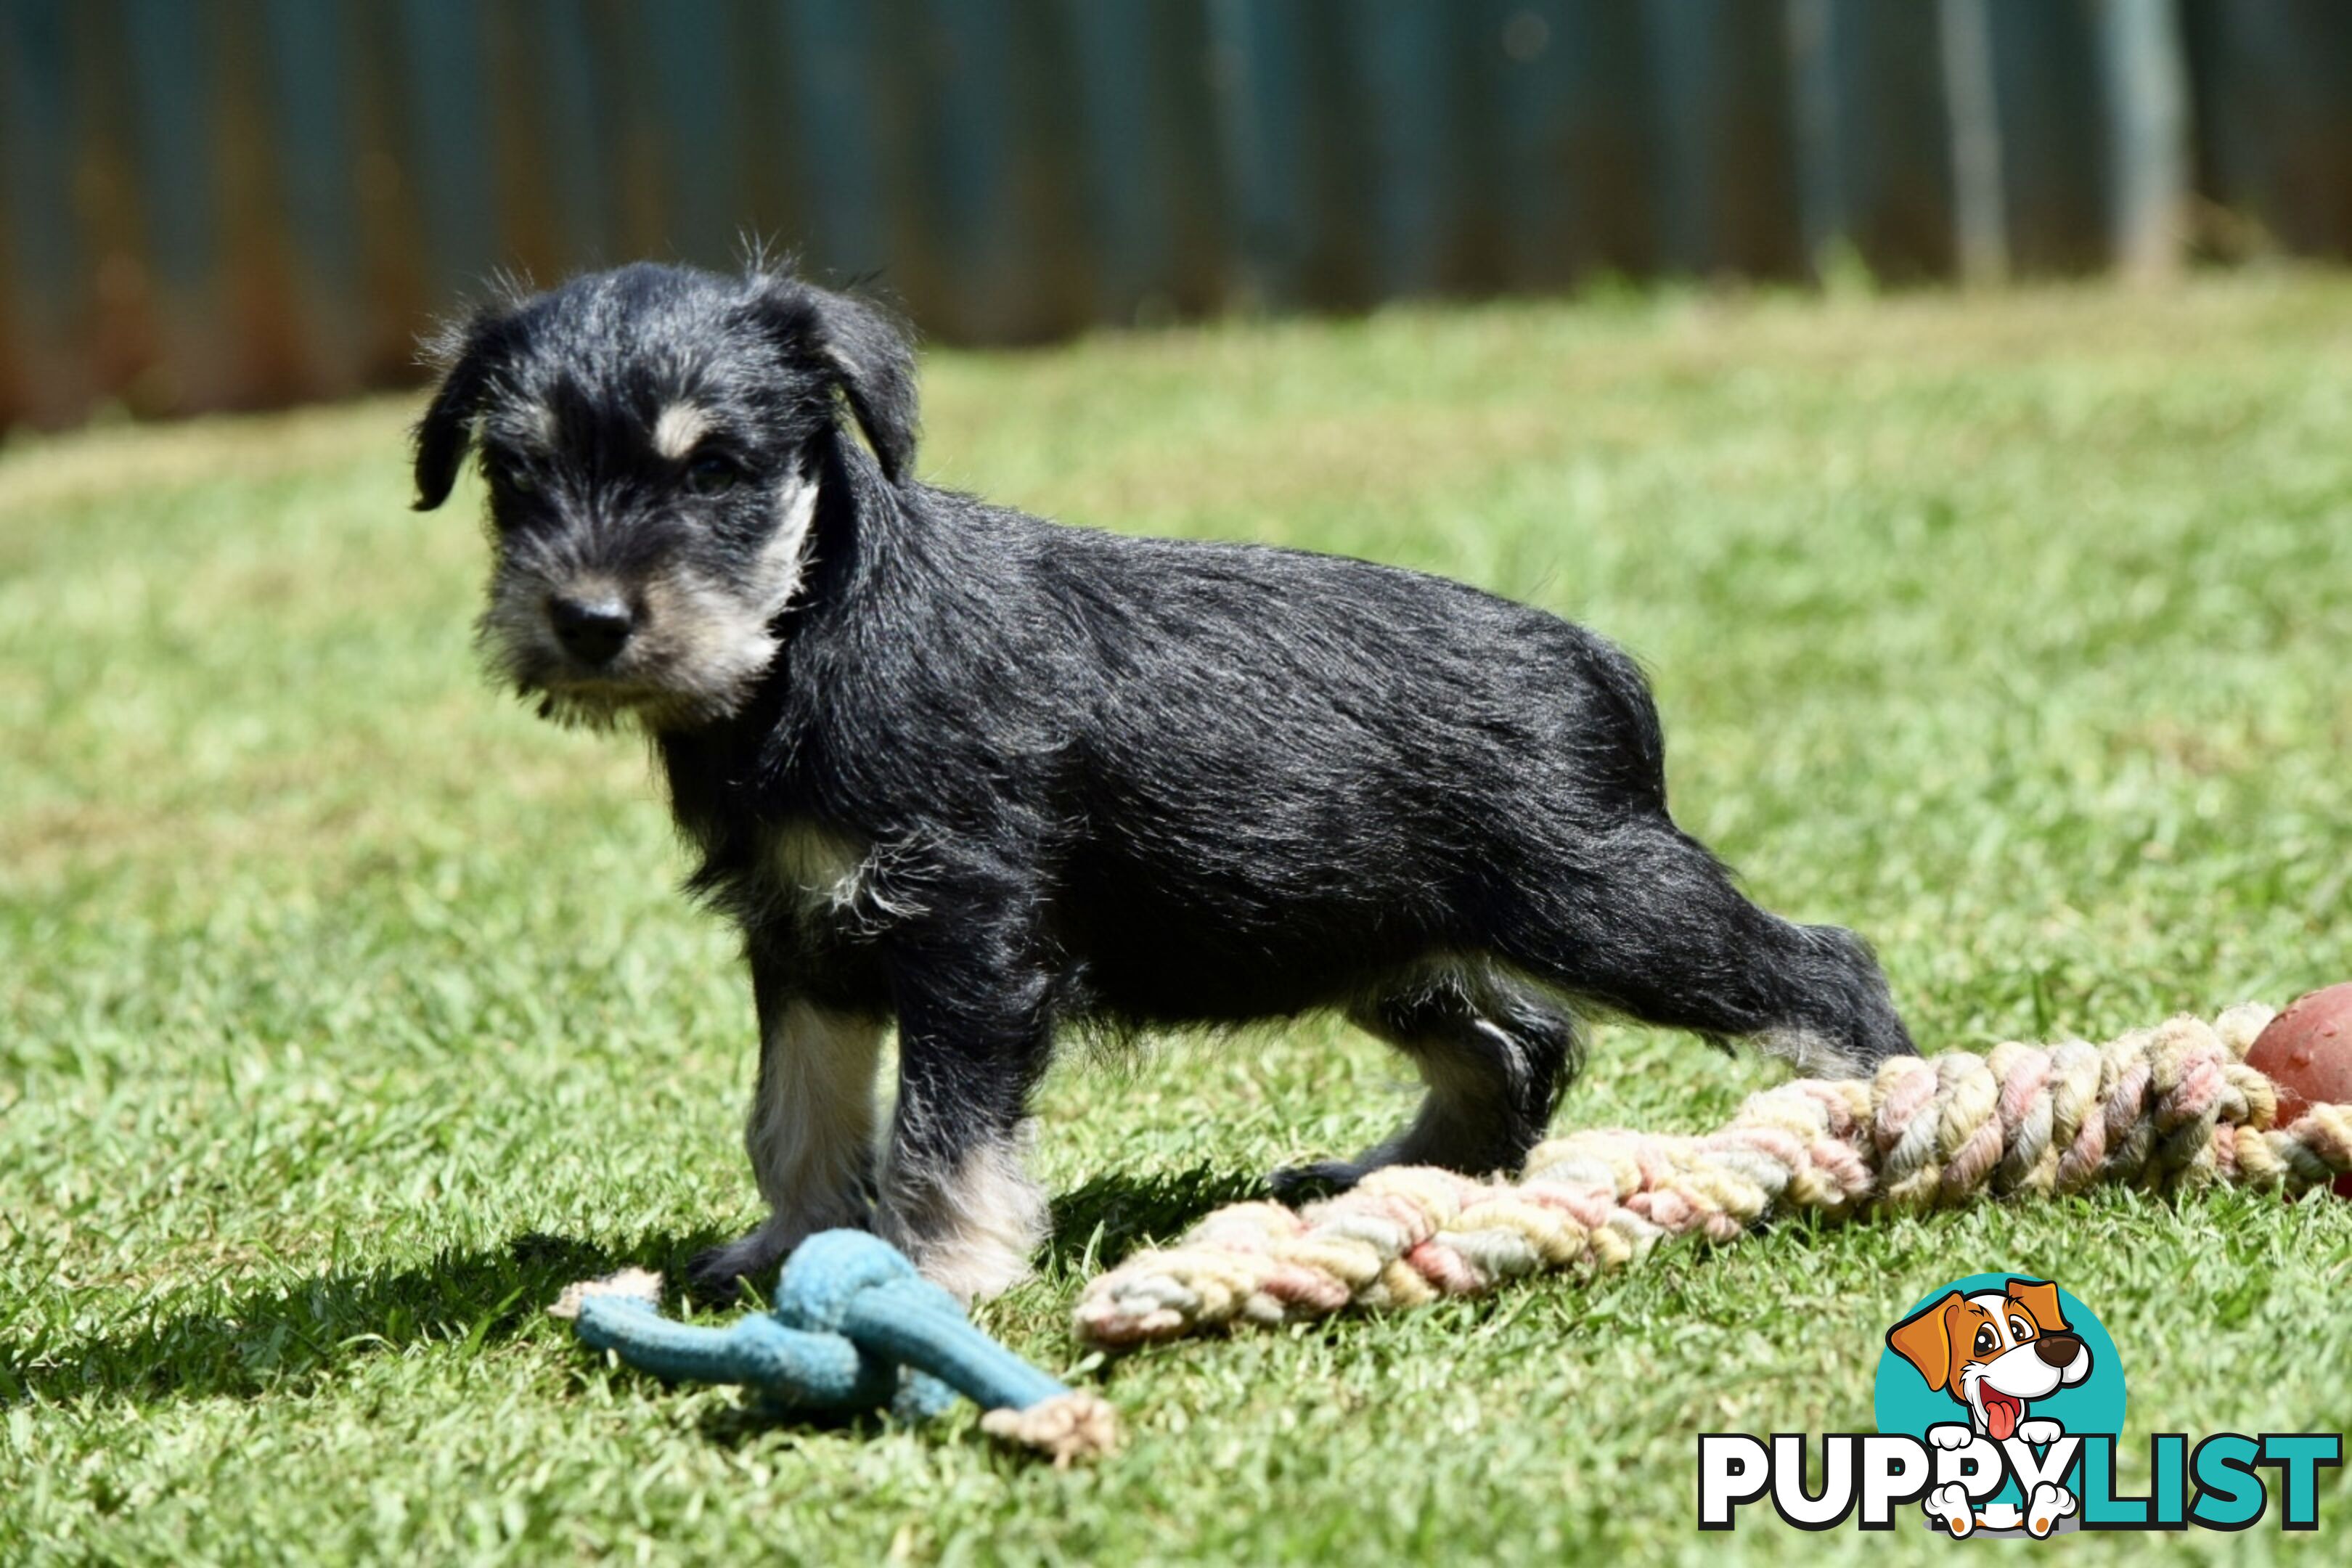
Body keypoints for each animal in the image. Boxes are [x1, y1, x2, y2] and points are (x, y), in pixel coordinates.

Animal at [414, 266, 1919, 1297]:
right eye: (515, 472)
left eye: (716, 465)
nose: (588, 621)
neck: (810, 635)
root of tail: (1597, 661)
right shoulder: (804, 941)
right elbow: (799, 1114)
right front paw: (784, 1245)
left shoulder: (969, 940)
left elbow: (941, 1133)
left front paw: (941, 1273)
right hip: (1368, 929)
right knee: (1516, 1042)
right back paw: (1382, 1178)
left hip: (1605, 904)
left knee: (1818, 970)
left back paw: (1888, 1118)